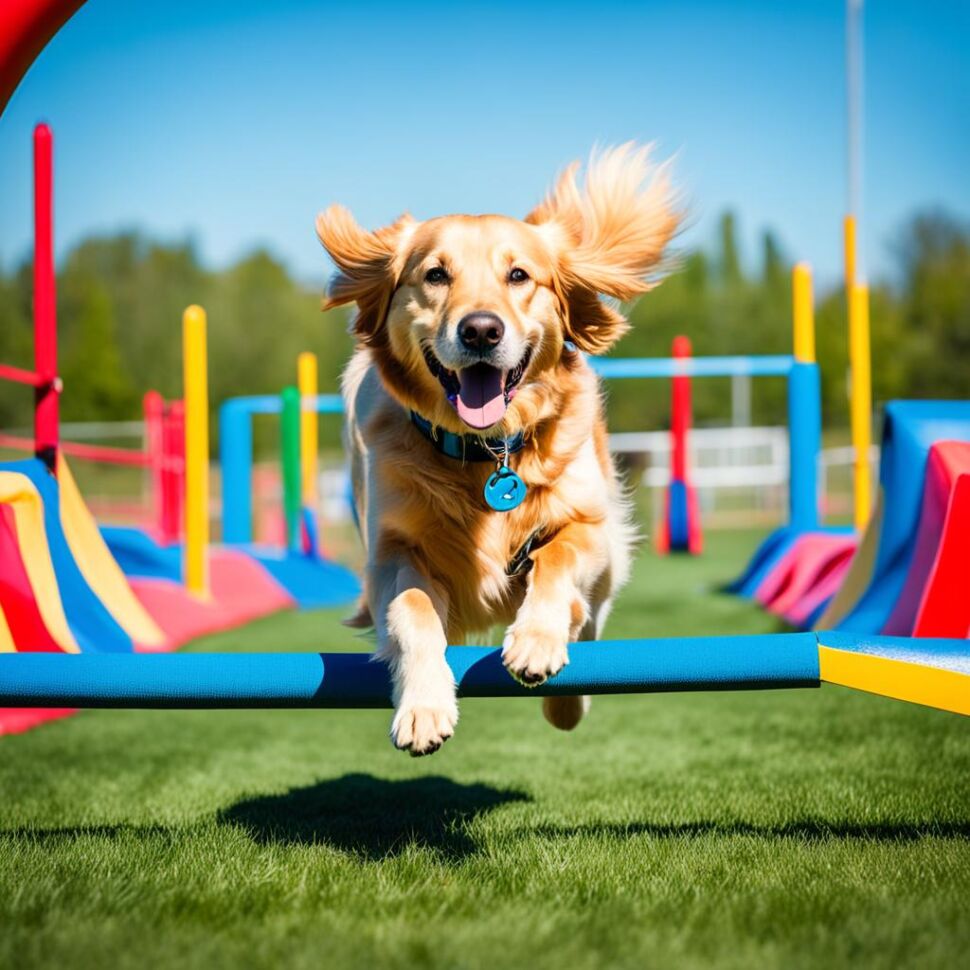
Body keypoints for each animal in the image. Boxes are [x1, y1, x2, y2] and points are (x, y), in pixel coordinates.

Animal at [316, 144, 672, 752]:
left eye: (518, 275)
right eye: (436, 274)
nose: (481, 330)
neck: (487, 451)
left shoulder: (588, 528)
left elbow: (555, 556)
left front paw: (536, 640)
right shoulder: (391, 554)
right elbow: (411, 609)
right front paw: (424, 707)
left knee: (590, 619)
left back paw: (567, 696)